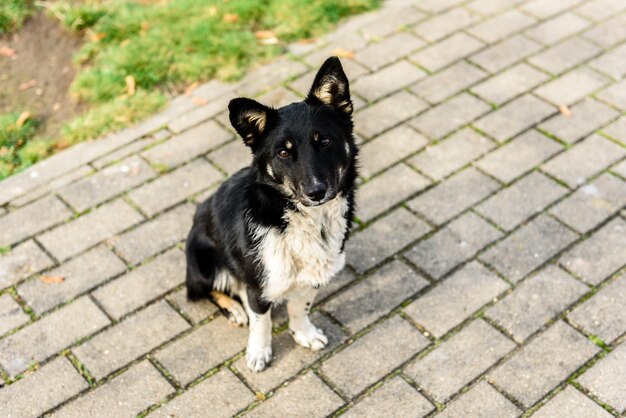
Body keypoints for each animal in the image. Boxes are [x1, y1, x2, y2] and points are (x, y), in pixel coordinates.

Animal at [184, 56, 356, 372]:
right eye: (283, 153)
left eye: (324, 141)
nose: (316, 192)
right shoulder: (258, 286)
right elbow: (260, 323)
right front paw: (259, 352)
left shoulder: (314, 276)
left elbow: (301, 307)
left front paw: (304, 333)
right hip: (202, 261)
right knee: (208, 291)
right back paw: (235, 310)